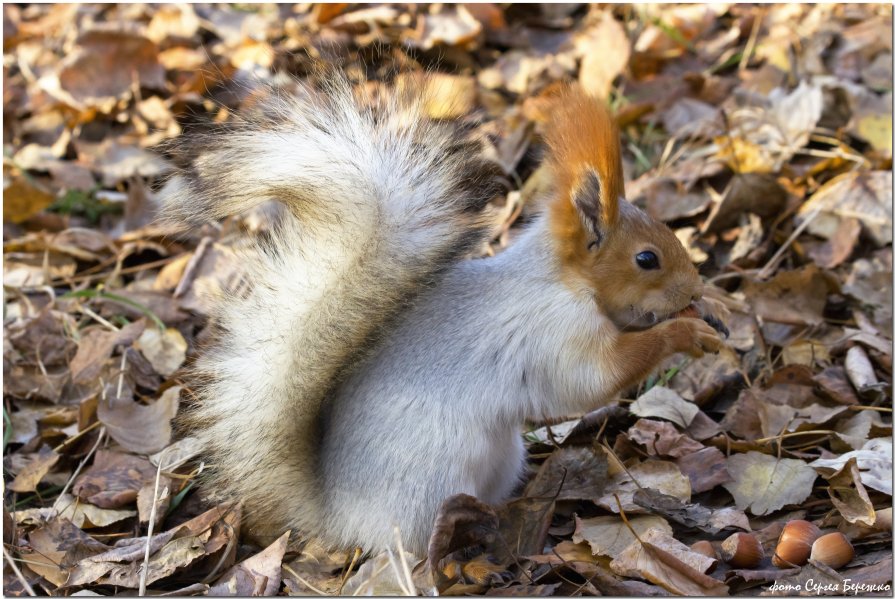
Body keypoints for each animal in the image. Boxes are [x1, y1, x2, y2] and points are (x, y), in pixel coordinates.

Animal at [163, 75, 728, 556]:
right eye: (647, 259)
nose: (695, 287)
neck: (561, 280)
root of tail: (338, 519)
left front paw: (716, 310)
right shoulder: (553, 332)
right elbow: (592, 380)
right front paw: (684, 331)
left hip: (503, 456)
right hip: (432, 477)